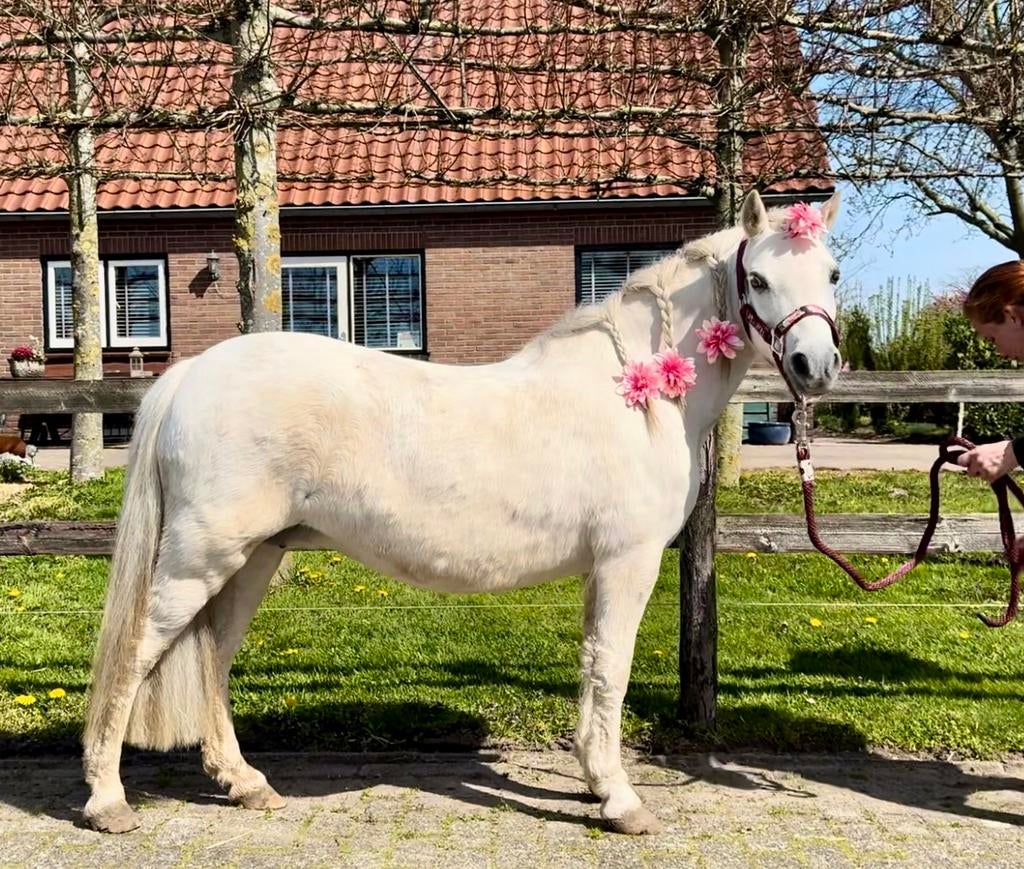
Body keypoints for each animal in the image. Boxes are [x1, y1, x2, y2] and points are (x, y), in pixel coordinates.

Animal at [82, 189, 843, 835]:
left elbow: (593, 666)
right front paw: (621, 801)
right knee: (134, 652)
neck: (640, 395)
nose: (817, 364)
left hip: (253, 558)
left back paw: (245, 784)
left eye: (832, 274)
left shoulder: (600, 569)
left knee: (212, 658)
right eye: (759, 281)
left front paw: (596, 782)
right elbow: (613, 669)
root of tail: (192, 374)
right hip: (200, 558)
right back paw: (108, 800)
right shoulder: (628, 562)